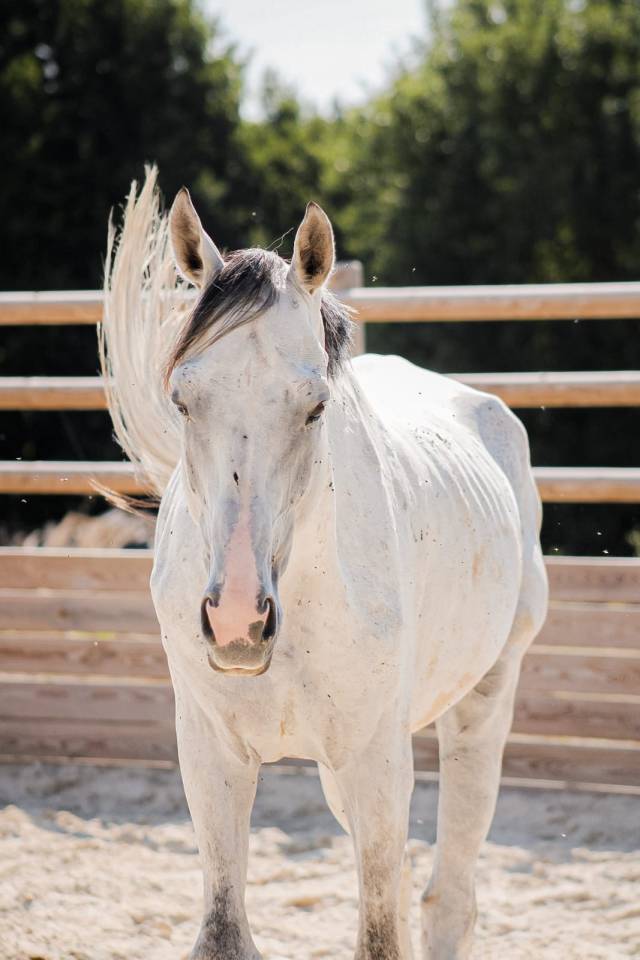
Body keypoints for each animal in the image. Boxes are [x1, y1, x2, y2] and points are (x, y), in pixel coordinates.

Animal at [100, 168, 548, 960]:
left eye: (315, 407)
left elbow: (382, 933)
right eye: (182, 399)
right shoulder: (213, 758)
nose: (238, 622)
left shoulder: (375, 764)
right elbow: (224, 932)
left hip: (483, 701)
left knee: (449, 899)